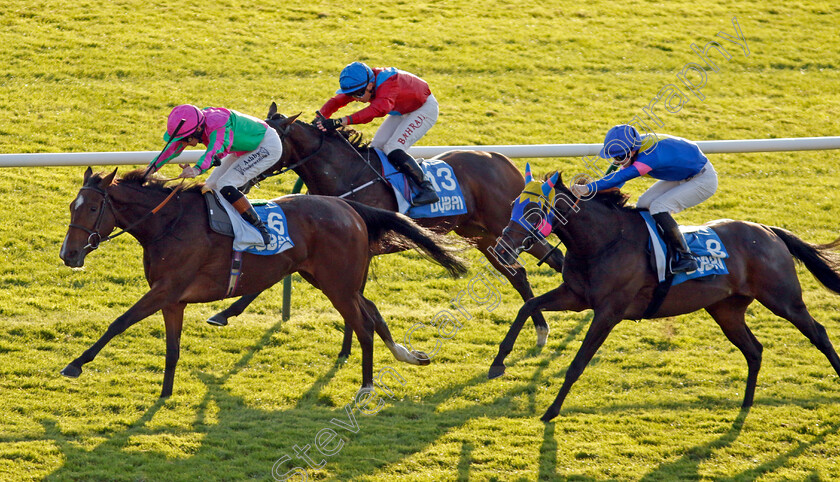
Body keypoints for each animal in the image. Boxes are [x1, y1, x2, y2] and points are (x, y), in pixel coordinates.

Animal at [59, 169, 466, 400]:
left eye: (92, 208)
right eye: (71, 207)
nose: (69, 254)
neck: (168, 223)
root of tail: (350, 208)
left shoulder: (165, 290)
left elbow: (119, 322)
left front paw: (76, 364)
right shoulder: (173, 299)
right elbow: (172, 350)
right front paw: (165, 395)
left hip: (338, 284)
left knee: (363, 325)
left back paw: (366, 387)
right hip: (332, 281)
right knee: (374, 313)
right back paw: (407, 355)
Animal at [208, 102, 568, 354]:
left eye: (263, 145)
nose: (237, 181)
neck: (348, 174)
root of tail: (506, 162)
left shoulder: (357, 246)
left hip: (505, 227)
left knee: (551, 260)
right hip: (484, 236)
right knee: (519, 273)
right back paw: (541, 329)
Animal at [486, 173, 840, 422]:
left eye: (533, 210)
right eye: (513, 205)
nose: (501, 247)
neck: (604, 241)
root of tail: (769, 231)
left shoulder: (609, 311)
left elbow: (578, 362)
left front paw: (551, 411)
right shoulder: (575, 296)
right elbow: (528, 306)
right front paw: (497, 364)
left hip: (783, 299)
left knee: (819, 333)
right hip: (726, 310)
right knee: (754, 350)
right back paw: (746, 403)